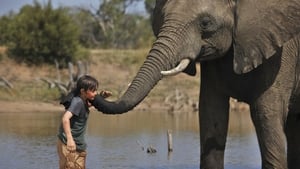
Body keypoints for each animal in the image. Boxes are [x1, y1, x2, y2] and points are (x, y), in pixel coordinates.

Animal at [91, 0, 300, 168]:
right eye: (163, 17)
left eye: (205, 23)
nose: (100, 92)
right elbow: (211, 113)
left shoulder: (280, 53)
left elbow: (264, 113)